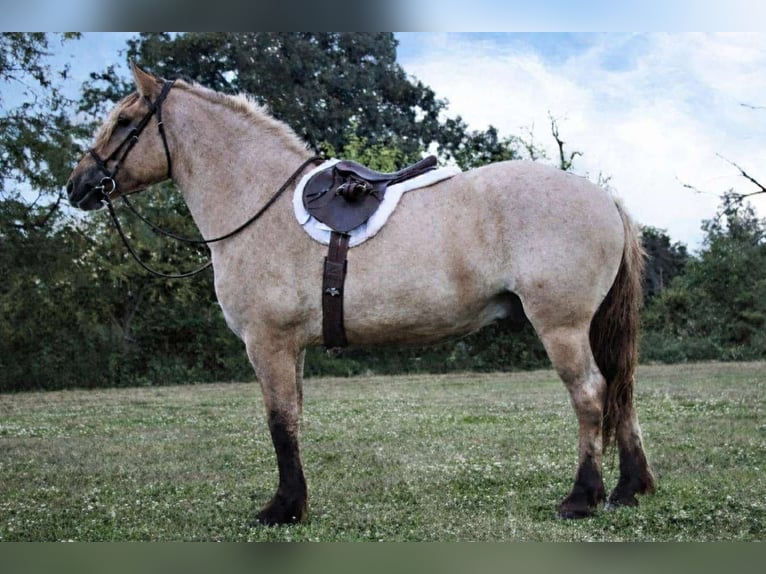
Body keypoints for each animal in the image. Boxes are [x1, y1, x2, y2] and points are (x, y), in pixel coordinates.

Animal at [66, 62, 655, 525]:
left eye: (125, 123)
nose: (78, 186)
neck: (258, 202)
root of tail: (604, 199)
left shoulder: (268, 343)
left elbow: (279, 421)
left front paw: (282, 509)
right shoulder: (291, 348)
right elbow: (293, 418)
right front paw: (295, 503)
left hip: (562, 326)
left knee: (590, 396)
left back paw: (582, 498)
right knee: (620, 393)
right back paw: (630, 490)